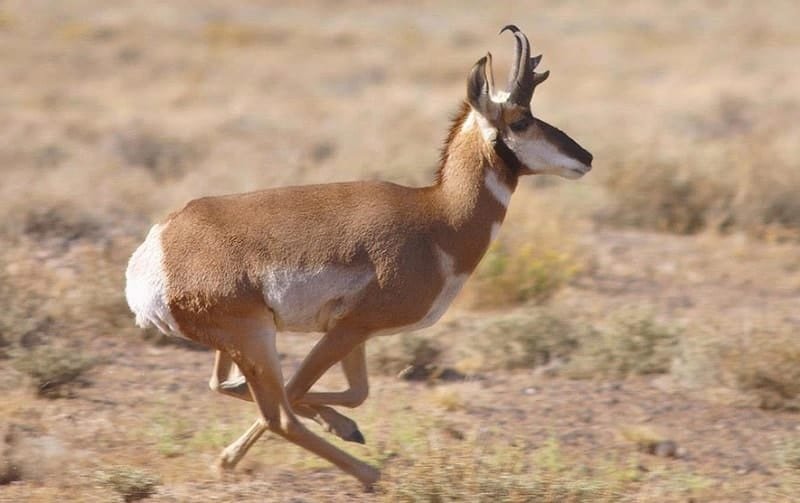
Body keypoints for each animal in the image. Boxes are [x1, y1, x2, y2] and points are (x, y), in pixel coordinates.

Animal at [123, 25, 588, 490]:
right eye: (521, 119)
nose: (586, 157)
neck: (437, 217)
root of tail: (159, 246)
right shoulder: (351, 328)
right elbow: (302, 390)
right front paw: (240, 455)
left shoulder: (356, 333)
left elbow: (354, 393)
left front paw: (342, 426)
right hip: (255, 336)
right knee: (278, 416)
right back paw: (369, 472)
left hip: (242, 341)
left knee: (226, 385)